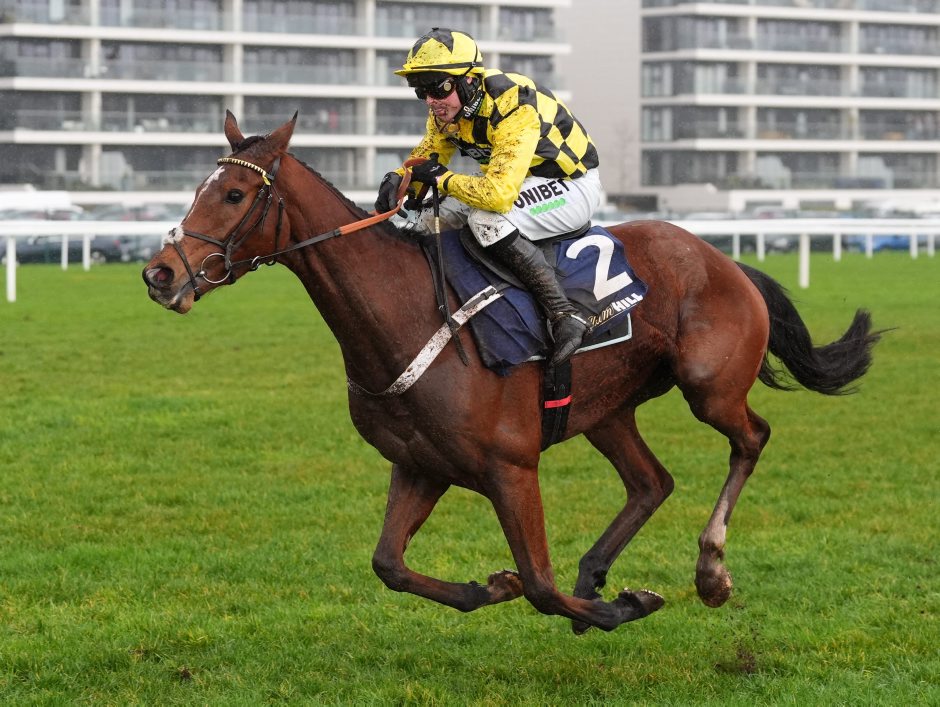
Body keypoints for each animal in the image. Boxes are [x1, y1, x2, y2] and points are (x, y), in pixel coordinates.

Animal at [143, 112, 880, 633]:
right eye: (202, 188)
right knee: (652, 481)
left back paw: (709, 571)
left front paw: (624, 605)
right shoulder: (420, 464)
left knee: (750, 437)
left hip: (710, 385)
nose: (160, 274)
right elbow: (390, 565)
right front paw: (491, 586)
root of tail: (724, 259)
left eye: (234, 193)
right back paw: (597, 569)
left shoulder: (511, 466)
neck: (405, 312)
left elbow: (541, 585)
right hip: (604, 410)